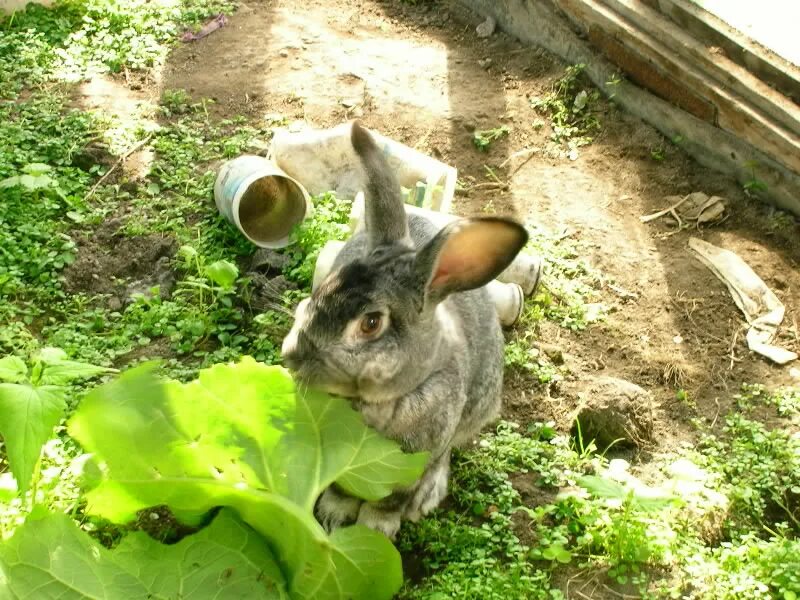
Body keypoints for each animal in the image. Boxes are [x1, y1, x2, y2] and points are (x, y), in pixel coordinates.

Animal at [278, 120, 528, 540]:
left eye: (371, 323)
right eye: (321, 290)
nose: (292, 358)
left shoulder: (412, 463)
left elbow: (388, 499)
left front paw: (376, 529)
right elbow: (342, 488)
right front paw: (333, 515)